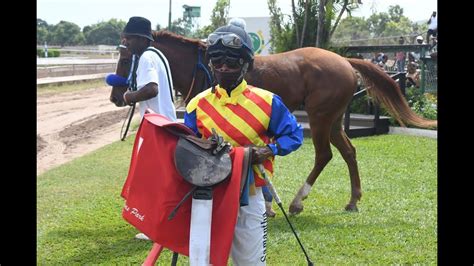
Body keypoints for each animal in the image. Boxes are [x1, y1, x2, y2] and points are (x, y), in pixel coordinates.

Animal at [109, 30, 436, 214]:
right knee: (348, 152)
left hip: (320, 117)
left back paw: (298, 201)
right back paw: (353, 200)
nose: (116, 96)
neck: (206, 65)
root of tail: (345, 60)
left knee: (324, 155)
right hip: (332, 120)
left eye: (125, 58)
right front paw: (265, 204)